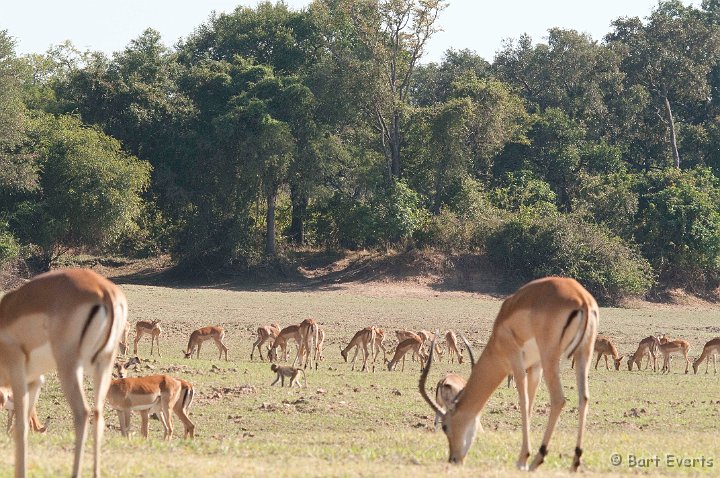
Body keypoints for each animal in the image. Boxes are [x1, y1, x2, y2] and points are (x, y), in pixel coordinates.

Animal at [0, 268, 126, 478]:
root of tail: (104, 291)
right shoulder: (35, 380)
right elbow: (23, 425)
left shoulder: (18, 372)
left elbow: (21, 427)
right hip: (103, 366)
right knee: (98, 416)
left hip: (69, 367)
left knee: (82, 413)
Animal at [420, 276, 600, 470]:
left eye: (446, 426)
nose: (453, 459)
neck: (499, 334)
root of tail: (582, 298)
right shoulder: (535, 366)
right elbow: (530, 403)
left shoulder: (516, 361)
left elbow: (524, 402)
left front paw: (522, 459)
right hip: (583, 353)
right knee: (584, 397)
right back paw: (575, 462)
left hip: (550, 357)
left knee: (559, 399)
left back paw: (537, 459)